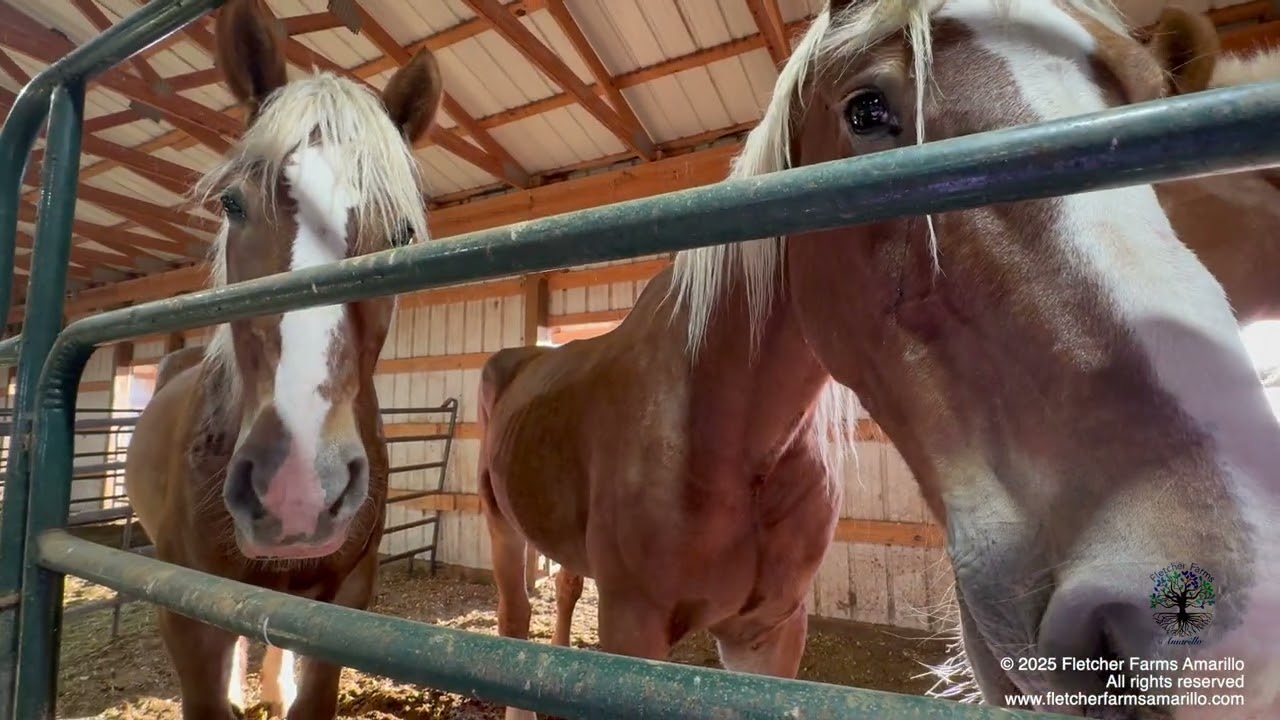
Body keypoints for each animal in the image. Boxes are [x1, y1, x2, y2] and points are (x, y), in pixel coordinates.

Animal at [482, 2, 1280, 719]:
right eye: (867, 110)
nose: (1240, 631)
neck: (725, 437)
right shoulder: (631, 629)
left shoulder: (767, 633)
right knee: (515, 623)